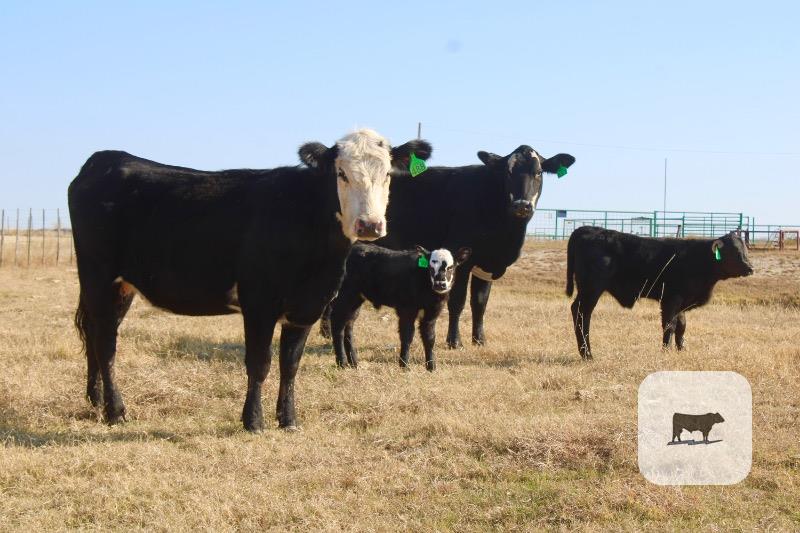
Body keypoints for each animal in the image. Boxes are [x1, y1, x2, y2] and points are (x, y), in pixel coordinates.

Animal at [68, 129, 432, 432]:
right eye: (341, 174)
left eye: (387, 175)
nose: (369, 225)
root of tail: (106, 158)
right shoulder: (258, 301)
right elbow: (260, 363)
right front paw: (253, 421)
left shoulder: (306, 307)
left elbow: (290, 365)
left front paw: (288, 420)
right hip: (98, 276)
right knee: (106, 343)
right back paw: (115, 412)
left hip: (122, 286)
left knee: (98, 336)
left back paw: (96, 400)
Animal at [320, 145, 576, 348]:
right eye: (507, 172)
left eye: (538, 172)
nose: (522, 205)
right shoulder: (460, 258)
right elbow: (458, 302)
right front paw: (455, 341)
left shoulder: (486, 265)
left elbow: (480, 303)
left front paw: (479, 339)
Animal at [329, 243, 471, 371]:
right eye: (430, 267)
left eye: (451, 267)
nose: (440, 284)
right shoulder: (406, 310)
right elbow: (407, 336)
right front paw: (404, 366)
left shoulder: (431, 313)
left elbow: (430, 338)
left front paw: (431, 367)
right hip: (344, 297)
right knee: (337, 326)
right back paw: (342, 363)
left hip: (355, 300)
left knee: (348, 327)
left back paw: (354, 363)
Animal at [565, 227, 754, 359]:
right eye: (735, 251)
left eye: (745, 250)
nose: (750, 268)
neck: (697, 259)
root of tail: (587, 229)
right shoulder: (671, 299)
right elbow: (669, 325)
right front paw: (666, 351)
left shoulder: (681, 302)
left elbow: (682, 326)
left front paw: (681, 349)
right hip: (591, 289)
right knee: (581, 313)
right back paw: (587, 354)